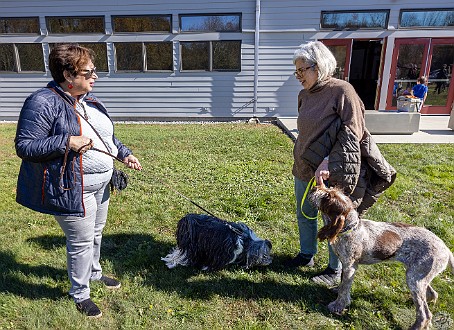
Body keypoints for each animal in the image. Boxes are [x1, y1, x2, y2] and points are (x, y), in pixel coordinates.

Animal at [310, 184, 452, 328]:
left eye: (327, 197)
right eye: (331, 189)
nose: (314, 187)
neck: (351, 228)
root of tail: (446, 249)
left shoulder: (350, 266)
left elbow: (345, 287)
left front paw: (338, 305)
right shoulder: (347, 265)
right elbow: (343, 283)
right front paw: (339, 292)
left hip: (414, 279)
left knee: (425, 313)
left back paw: (417, 326)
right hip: (419, 276)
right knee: (432, 294)